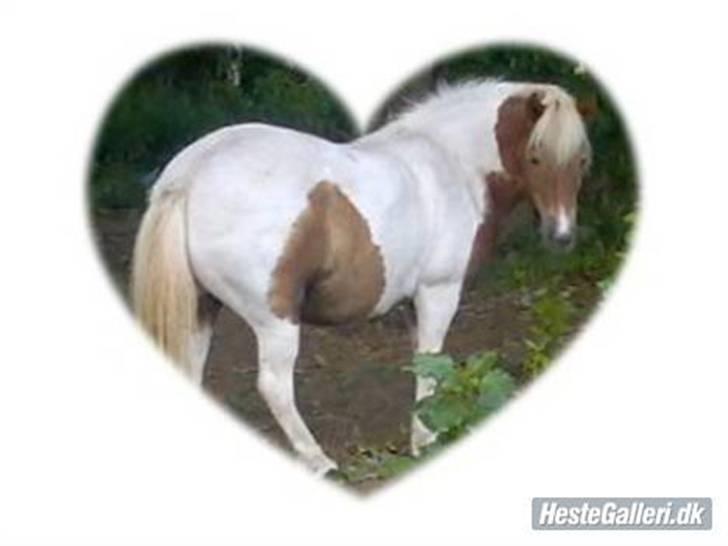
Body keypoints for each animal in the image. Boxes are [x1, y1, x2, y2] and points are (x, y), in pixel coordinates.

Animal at [131, 79, 592, 475]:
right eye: (536, 155)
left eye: (582, 160)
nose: (562, 236)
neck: (451, 164)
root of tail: (191, 174)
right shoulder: (438, 292)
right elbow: (432, 364)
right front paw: (425, 442)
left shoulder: (412, 301)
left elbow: (422, 362)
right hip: (275, 321)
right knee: (274, 386)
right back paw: (320, 461)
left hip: (201, 307)